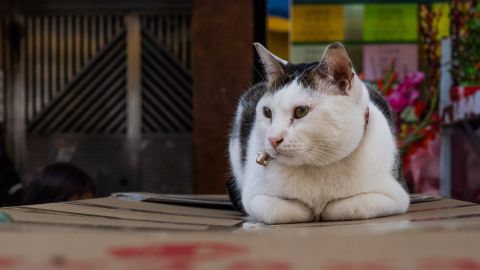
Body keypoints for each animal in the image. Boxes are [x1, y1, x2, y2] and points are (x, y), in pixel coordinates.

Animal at [227, 42, 410, 224]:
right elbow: (282, 211)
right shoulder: (253, 197)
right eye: (267, 112)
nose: (273, 139)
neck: (318, 166)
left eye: (301, 111)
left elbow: (346, 207)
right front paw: (311, 211)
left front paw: (323, 210)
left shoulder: (396, 196)